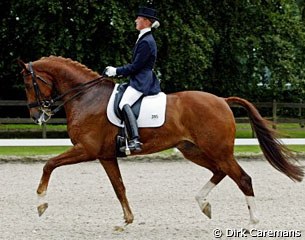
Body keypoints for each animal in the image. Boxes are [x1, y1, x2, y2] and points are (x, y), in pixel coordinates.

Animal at [19, 56, 302, 225]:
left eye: (30, 84)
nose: (36, 116)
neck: (85, 97)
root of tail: (222, 100)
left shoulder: (86, 149)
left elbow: (49, 164)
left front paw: (41, 204)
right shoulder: (106, 155)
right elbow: (119, 187)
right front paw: (128, 219)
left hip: (217, 150)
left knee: (243, 178)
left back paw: (253, 222)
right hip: (193, 150)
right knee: (221, 172)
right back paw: (204, 204)